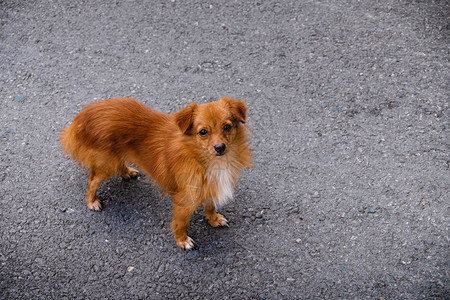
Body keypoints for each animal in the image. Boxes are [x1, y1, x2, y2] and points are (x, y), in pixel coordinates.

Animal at [59, 97, 251, 250]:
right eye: (203, 132)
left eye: (227, 127)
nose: (220, 147)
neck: (205, 160)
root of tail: (85, 114)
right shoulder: (185, 199)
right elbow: (181, 223)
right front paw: (182, 241)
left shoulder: (209, 186)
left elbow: (210, 206)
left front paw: (213, 219)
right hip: (106, 164)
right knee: (92, 180)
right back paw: (91, 201)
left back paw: (127, 172)